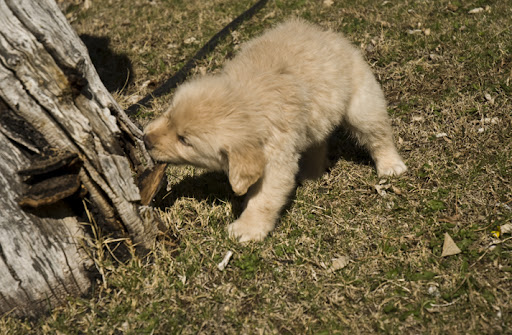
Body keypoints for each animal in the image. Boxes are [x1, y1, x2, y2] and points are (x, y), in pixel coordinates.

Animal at [145, 18, 408, 243]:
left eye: (184, 140)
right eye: (169, 113)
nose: (146, 140)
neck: (248, 100)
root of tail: (330, 35)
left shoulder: (276, 159)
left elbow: (264, 199)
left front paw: (248, 228)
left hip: (362, 105)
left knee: (379, 135)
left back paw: (391, 165)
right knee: (318, 141)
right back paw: (312, 172)